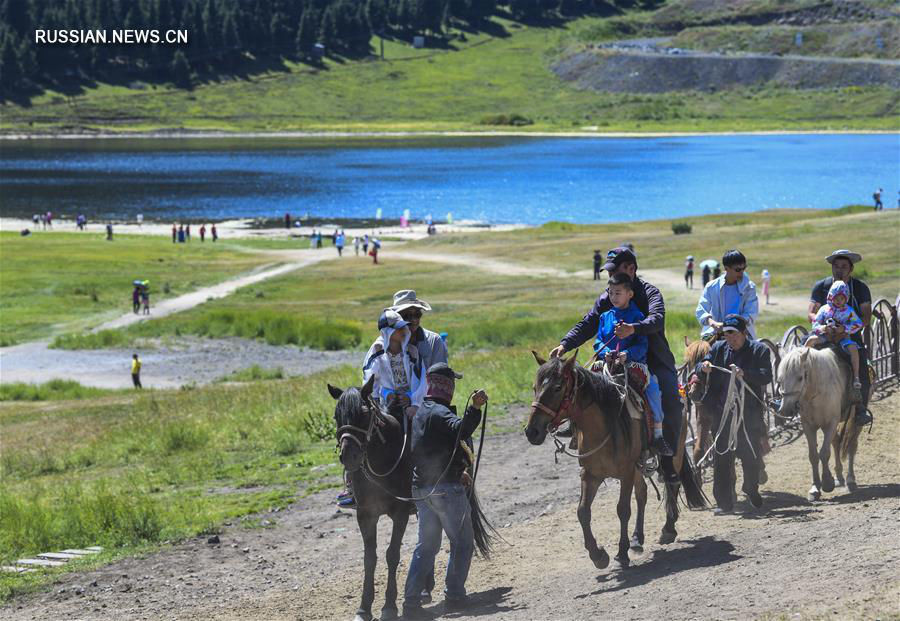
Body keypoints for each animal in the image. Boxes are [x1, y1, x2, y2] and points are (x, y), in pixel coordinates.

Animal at [328, 372, 410, 620]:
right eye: (336, 415)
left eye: (364, 414)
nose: (349, 456)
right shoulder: (366, 515)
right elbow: (369, 558)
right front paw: (364, 607)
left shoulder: (401, 512)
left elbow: (392, 554)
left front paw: (389, 605)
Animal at [524, 352, 708, 568]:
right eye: (535, 388)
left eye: (557, 387)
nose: (531, 431)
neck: (603, 426)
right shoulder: (590, 475)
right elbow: (582, 511)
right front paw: (598, 556)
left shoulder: (626, 472)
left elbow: (623, 509)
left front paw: (621, 553)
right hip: (638, 466)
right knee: (643, 493)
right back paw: (637, 539)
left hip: (674, 453)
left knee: (673, 483)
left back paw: (668, 529)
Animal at [776, 346, 860, 502]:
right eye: (779, 380)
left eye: (800, 377)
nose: (786, 409)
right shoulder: (808, 426)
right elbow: (813, 455)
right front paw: (815, 487)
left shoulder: (831, 422)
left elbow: (824, 453)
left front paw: (827, 483)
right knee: (836, 442)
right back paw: (839, 476)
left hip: (854, 418)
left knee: (852, 444)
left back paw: (850, 479)